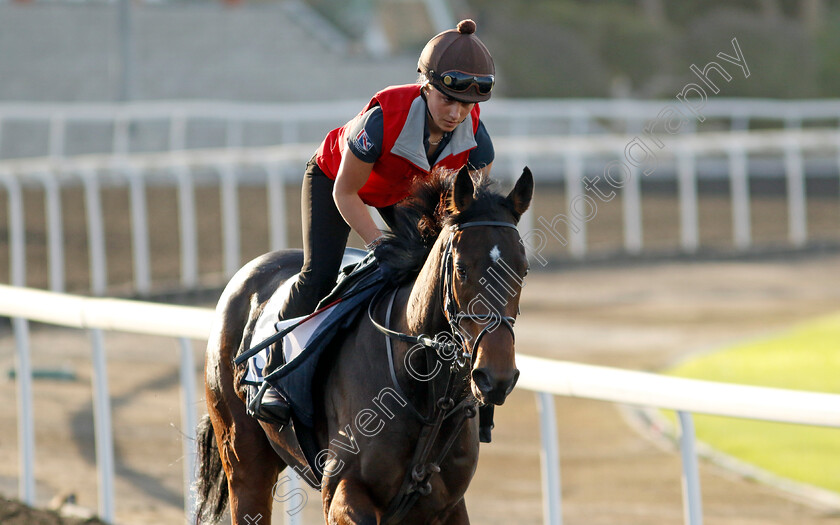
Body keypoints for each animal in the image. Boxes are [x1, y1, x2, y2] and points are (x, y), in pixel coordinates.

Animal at [195, 165, 532, 524]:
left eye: (522, 270)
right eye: (461, 269)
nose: (495, 377)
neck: (424, 392)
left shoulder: (445, 506)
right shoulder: (342, 492)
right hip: (245, 463)